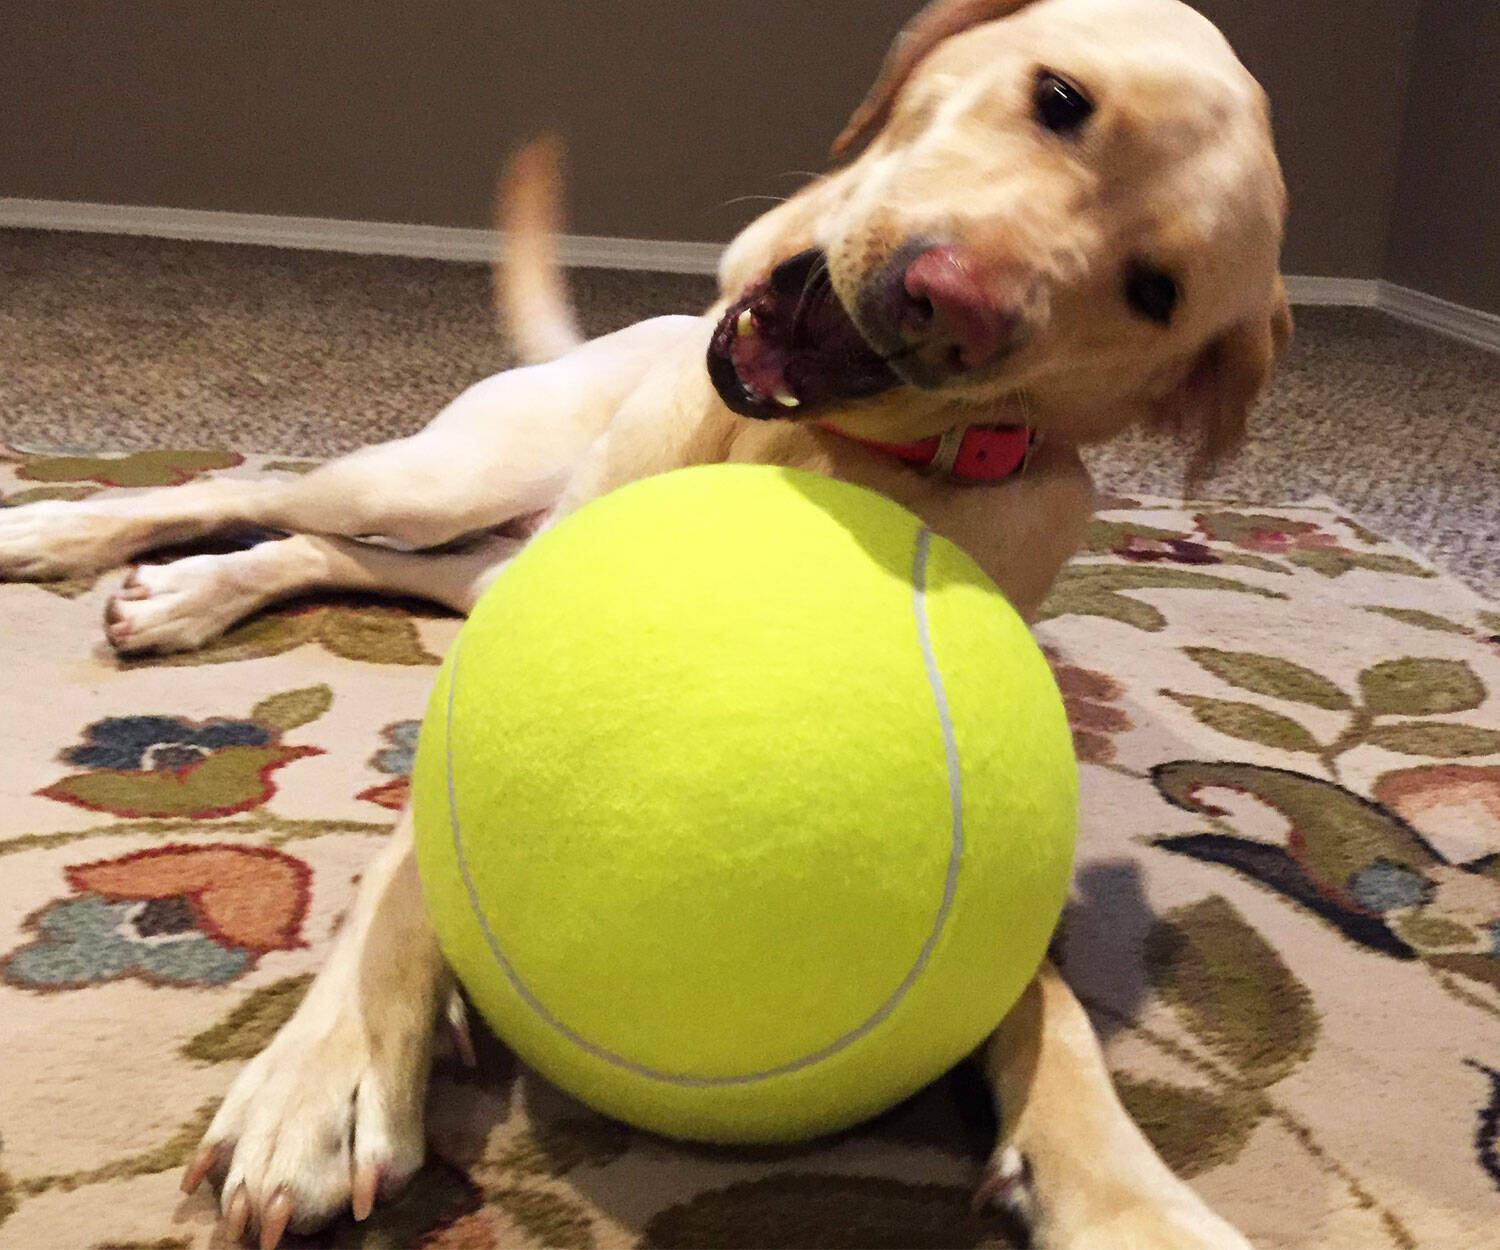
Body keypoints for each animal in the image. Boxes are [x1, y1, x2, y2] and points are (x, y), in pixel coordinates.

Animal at [0, 0, 1290, 1236]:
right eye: (1061, 97)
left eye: (1156, 290)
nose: (951, 304)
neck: (806, 454)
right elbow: (404, 877)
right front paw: (329, 1074)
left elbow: (1045, 1000)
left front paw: (1127, 1192)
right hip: (444, 476)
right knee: (264, 494)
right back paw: (78, 538)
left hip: (487, 557)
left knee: (345, 549)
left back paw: (188, 591)